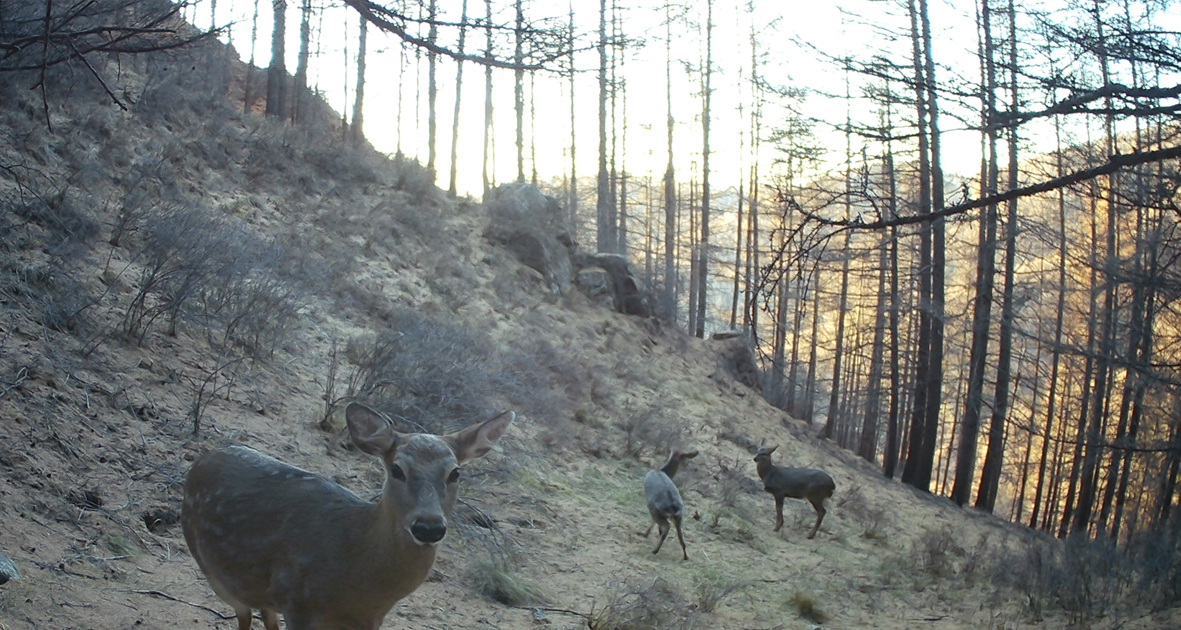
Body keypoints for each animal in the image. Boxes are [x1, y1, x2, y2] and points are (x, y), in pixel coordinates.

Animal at [180, 401, 512, 628]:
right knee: (245, 615)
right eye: (396, 469)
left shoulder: (369, 619)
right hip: (215, 573)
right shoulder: (298, 601)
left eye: (455, 473)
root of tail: (202, 459)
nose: (429, 526)